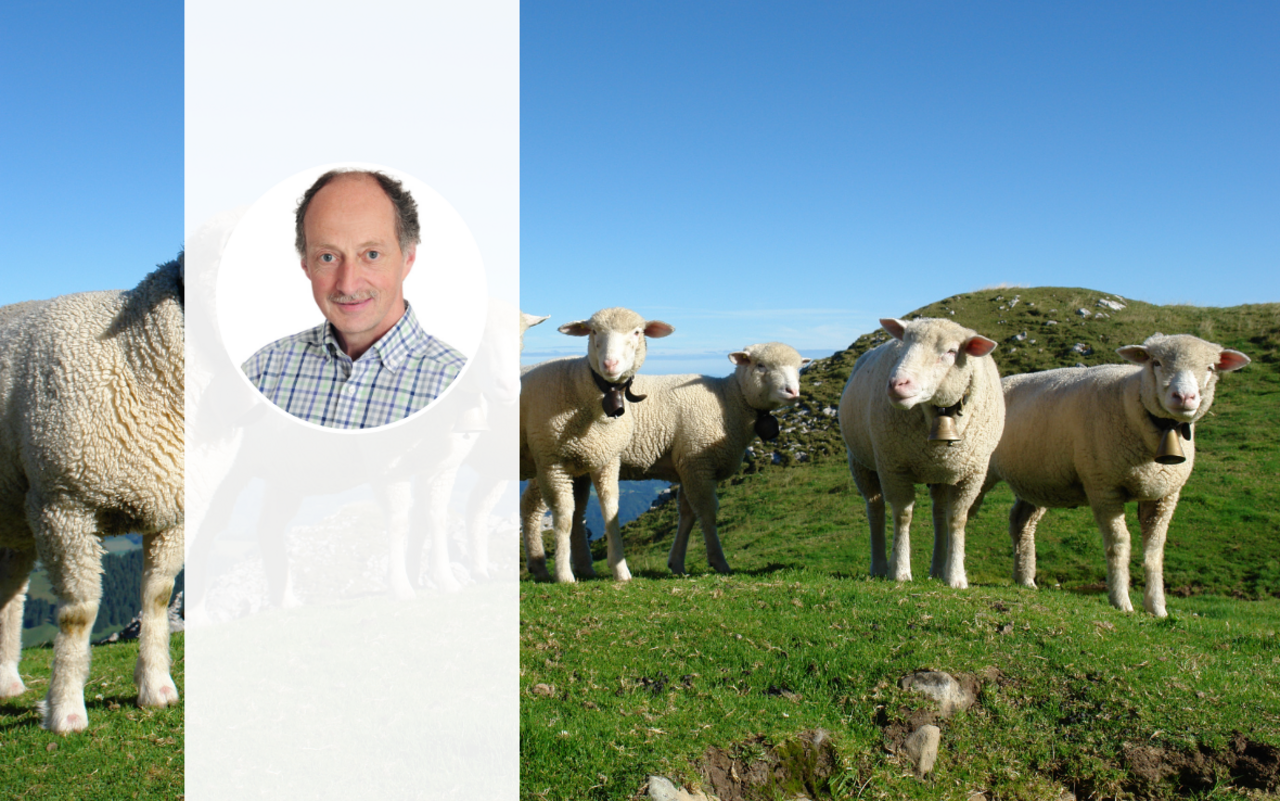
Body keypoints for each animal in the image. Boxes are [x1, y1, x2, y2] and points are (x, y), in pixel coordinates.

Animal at [0, 255, 186, 731]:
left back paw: (8, 681)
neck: (138, 354)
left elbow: (157, 598)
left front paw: (156, 689)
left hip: (16, 523)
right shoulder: (64, 504)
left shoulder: (171, 512)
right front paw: (66, 710)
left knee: (11, 595)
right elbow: (77, 614)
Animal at [522, 305, 680, 580]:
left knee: (550, 509)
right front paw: (564, 575)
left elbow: (610, 511)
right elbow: (563, 517)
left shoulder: (606, 460)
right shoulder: (553, 464)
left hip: (566, 465)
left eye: (637, 332)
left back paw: (558, 567)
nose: (610, 363)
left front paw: (621, 570)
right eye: (593, 331)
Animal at [522, 340, 803, 575]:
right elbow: (707, 512)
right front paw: (719, 562)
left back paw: (581, 568)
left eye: (799, 368)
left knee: (575, 511)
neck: (729, 399)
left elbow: (687, 514)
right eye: (761, 365)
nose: (793, 392)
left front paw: (677, 564)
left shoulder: (688, 466)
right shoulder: (698, 463)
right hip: (550, 455)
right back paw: (540, 567)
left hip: (581, 461)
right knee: (532, 506)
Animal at [839, 316, 1008, 586]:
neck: (940, 411)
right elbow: (902, 515)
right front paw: (900, 571)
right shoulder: (893, 466)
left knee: (938, 514)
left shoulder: (973, 473)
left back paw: (937, 569)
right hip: (860, 462)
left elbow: (957, 519)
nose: (896, 384)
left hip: (939, 472)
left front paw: (956, 577)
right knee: (875, 509)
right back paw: (879, 566)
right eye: (905, 344)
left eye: (951, 352)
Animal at [977, 330, 1249, 611]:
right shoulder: (1104, 487)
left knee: (1021, 521)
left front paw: (1157, 607)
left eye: (1210, 368)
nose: (1184, 397)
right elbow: (1119, 543)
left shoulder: (1165, 495)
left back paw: (1025, 579)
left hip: (1039, 479)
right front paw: (1121, 601)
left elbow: (1154, 550)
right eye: (1156, 362)